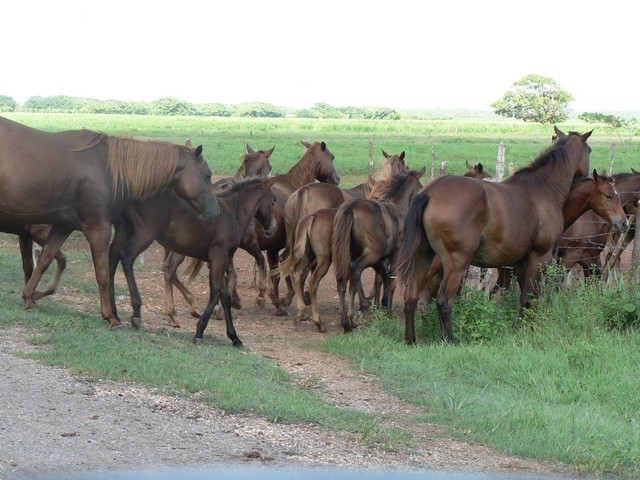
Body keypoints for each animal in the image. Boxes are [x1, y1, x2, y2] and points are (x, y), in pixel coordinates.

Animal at [0, 116, 220, 330]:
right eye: (207, 175)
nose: (215, 211)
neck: (110, 170)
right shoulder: (99, 228)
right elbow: (103, 273)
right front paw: (111, 318)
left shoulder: (63, 226)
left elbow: (45, 260)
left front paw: (29, 298)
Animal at [109, 176, 277, 346]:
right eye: (273, 200)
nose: (273, 228)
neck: (233, 212)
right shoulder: (219, 256)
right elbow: (216, 292)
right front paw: (199, 332)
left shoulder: (222, 259)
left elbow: (224, 297)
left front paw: (234, 337)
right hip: (145, 233)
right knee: (127, 257)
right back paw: (137, 312)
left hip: (125, 230)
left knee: (112, 257)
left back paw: (113, 313)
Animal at [332, 168, 426, 333]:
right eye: (420, 187)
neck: (396, 207)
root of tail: (351, 208)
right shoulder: (395, 255)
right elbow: (391, 279)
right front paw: (386, 308)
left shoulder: (381, 259)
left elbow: (384, 278)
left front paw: (383, 305)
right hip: (371, 254)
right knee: (355, 269)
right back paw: (363, 305)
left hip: (347, 254)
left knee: (343, 282)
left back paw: (347, 323)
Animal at [397, 127, 592, 344]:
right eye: (589, 151)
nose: (588, 176)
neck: (543, 188)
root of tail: (429, 193)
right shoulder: (540, 257)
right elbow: (530, 295)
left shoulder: (520, 261)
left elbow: (524, 296)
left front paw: (520, 325)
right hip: (456, 263)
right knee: (444, 300)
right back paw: (451, 340)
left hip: (423, 257)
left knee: (411, 296)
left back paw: (411, 339)